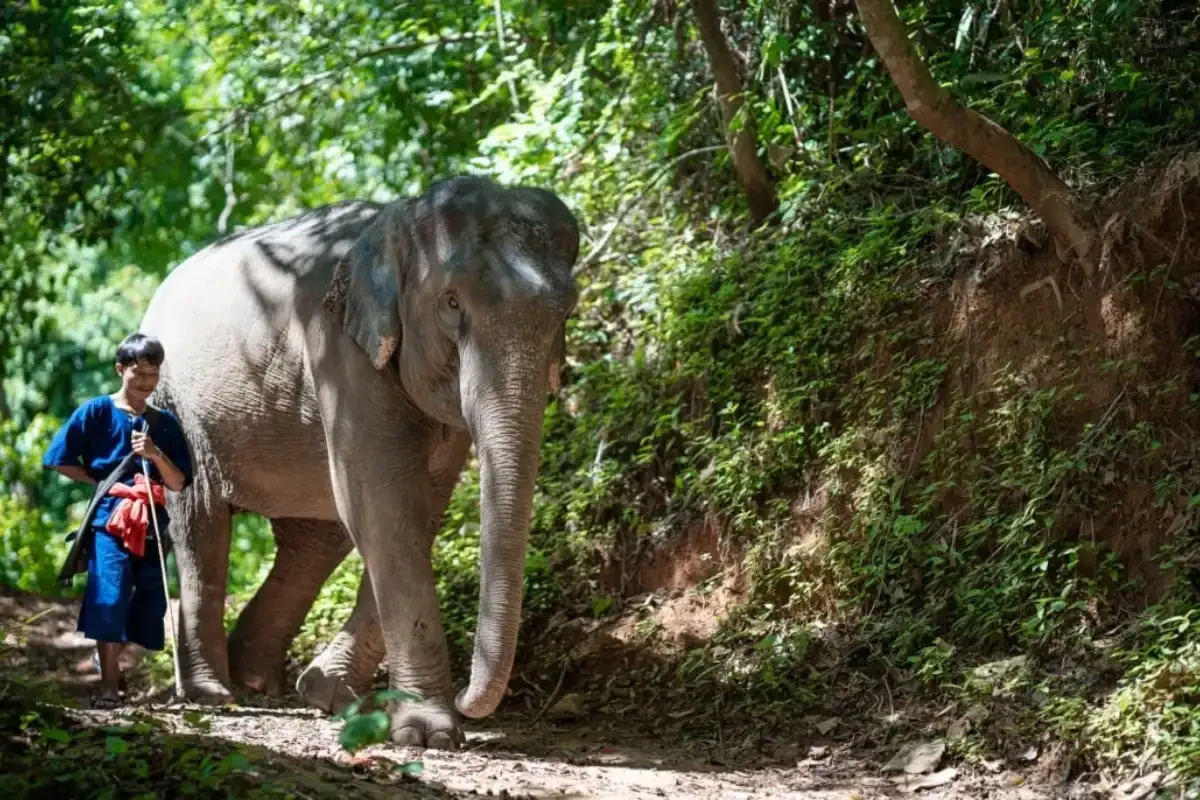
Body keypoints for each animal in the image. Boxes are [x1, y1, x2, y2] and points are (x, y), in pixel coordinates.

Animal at [138, 175, 580, 749]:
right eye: (452, 301)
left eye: (566, 311)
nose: (469, 697)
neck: (398, 219)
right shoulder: (337, 350)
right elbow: (384, 503)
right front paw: (428, 734)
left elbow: (417, 508)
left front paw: (326, 692)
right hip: (175, 408)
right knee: (202, 526)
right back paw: (213, 694)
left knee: (314, 538)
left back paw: (259, 679)